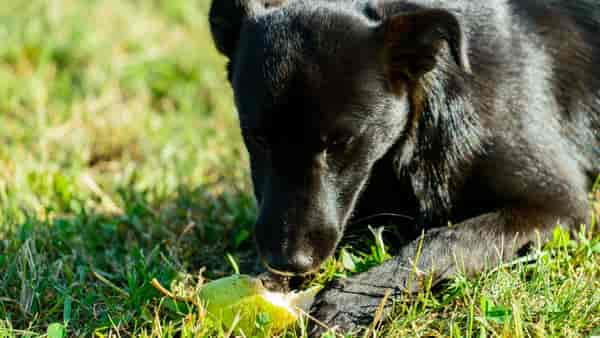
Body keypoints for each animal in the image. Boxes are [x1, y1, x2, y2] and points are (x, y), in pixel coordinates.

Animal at [209, 0, 596, 334]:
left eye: (340, 142)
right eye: (257, 138)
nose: (288, 261)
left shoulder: (558, 206)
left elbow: (444, 239)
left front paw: (351, 299)